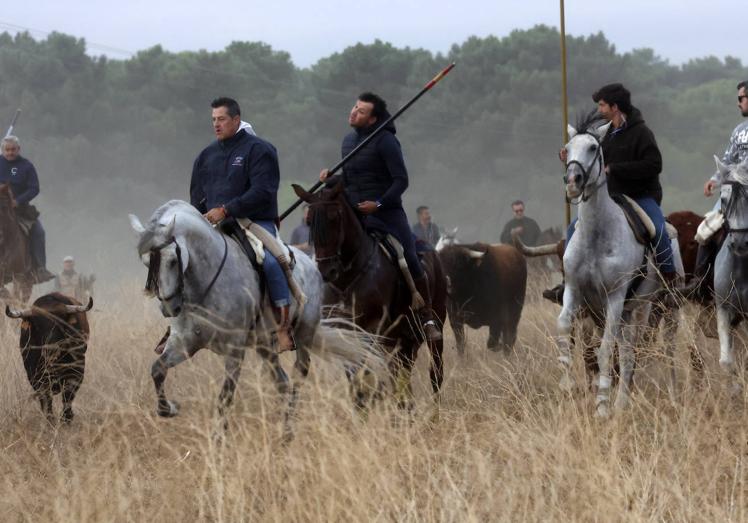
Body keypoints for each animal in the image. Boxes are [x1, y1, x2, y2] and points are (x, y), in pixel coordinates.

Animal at [129, 201, 382, 426]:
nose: (169, 308)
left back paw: (288, 432)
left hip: (303, 336)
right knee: (282, 383)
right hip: (265, 345)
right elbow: (158, 370)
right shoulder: (184, 342)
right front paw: (170, 408)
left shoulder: (234, 351)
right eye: (146, 263)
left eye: (173, 260)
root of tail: (313, 265)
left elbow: (224, 400)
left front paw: (218, 442)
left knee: (298, 379)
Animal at [290, 182, 444, 412]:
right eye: (309, 220)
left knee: (435, 374)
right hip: (405, 339)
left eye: (334, 217)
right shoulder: (345, 330)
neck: (348, 278)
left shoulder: (373, 327)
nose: (327, 271)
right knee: (402, 374)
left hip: (434, 330)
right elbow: (355, 376)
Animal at [560, 113, 680, 418]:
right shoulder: (574, 291)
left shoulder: (614, 298)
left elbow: (604, 351)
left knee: (647, 354)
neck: (597, 236)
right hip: (627, 313)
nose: (573, 181)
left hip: (655, 308)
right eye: (567, 148)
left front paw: (602, 407)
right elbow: (564, 330)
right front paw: (565, 386)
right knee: (626, 356)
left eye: (593, 147)